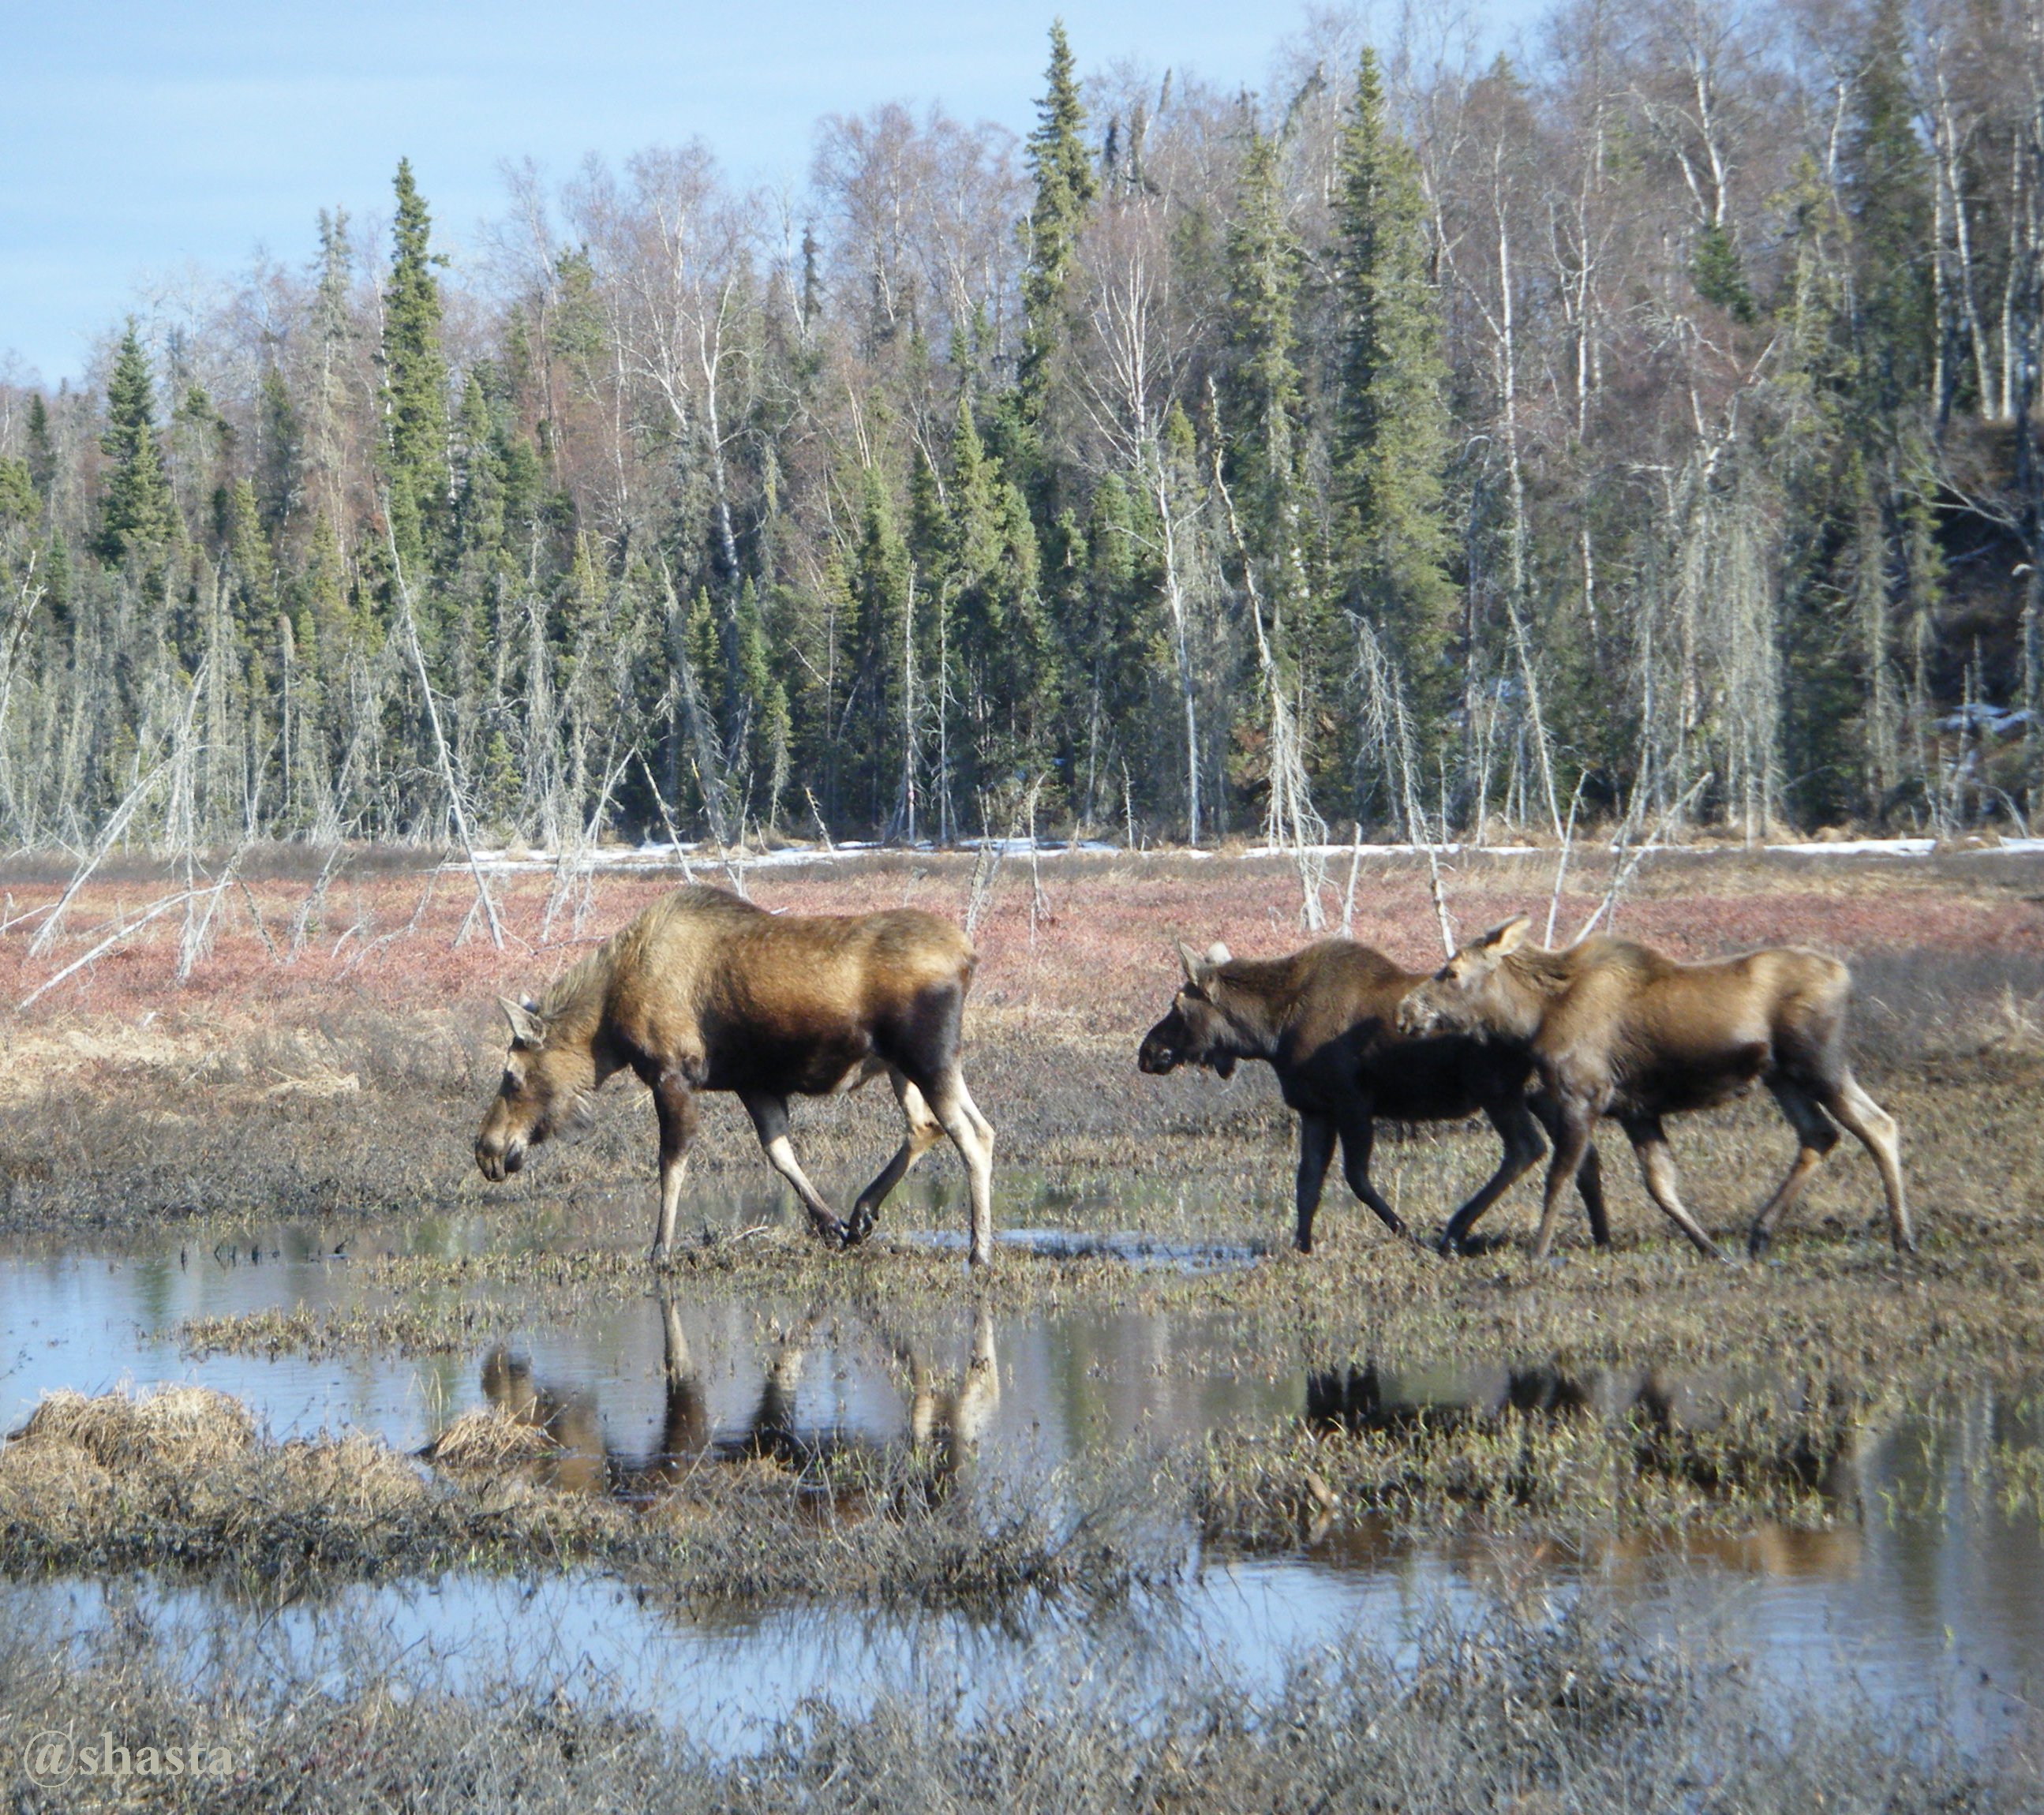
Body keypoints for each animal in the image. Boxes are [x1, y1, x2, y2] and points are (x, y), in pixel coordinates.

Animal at [472, 887, 997, 1267]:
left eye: (512, 1075)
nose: (487, 1150)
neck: (607, 1031)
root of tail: (970, 957)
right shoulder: (754, 1083)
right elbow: (780, 1153)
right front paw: (830, 1225)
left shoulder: (672, 1074)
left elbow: (671, 1164)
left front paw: (660, 1249)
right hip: (906, 1066)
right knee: (939, 1127)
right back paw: (864, 1213)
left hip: (927, 1056)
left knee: (969, 1135)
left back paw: (979, 1250)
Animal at [1136, 944, 1610, 1251]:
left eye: (1177, 1006)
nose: (1147, 1052)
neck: (1270, 1033)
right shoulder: (1315, 1109)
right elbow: (1307, 1182)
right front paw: (1301, 1246)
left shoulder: (1353, 1104)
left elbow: (1356, 1179)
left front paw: (1407, 1233)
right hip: (1541, 1093)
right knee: (1582, 1156)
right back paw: (1601, 1236)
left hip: (1497, 1089)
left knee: (1527, 1148)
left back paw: (1454, 1230)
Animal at [1398, 919, 1904, 1259]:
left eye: (1452, 972)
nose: (1406, 1012)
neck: (1534, 1017)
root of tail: (1846, 977)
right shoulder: (1636, 1109)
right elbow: (1661, 1184)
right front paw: (1709, 1248)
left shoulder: (1583, 1093)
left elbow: (1560, 1175)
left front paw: (1537, 1254)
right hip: (1783, 1077)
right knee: (1820, 1134)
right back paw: (1760, 1233)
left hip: (1819, 1064)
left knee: (1877, 1124)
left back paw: (1902, 1235)